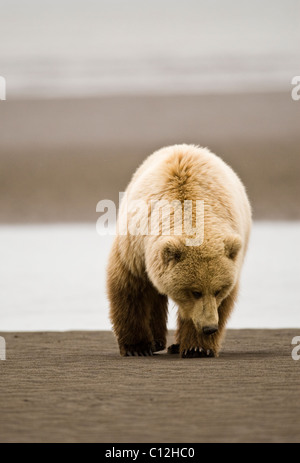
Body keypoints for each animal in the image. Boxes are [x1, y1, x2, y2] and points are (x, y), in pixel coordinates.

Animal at [106, 145, 252, 358]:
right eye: (195, 291)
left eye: (218, 290)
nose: (210, 328)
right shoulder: (136, 245)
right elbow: (131, 287)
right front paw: (137, 347)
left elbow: (219, 303)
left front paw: (197, 347)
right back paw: (157, 341)